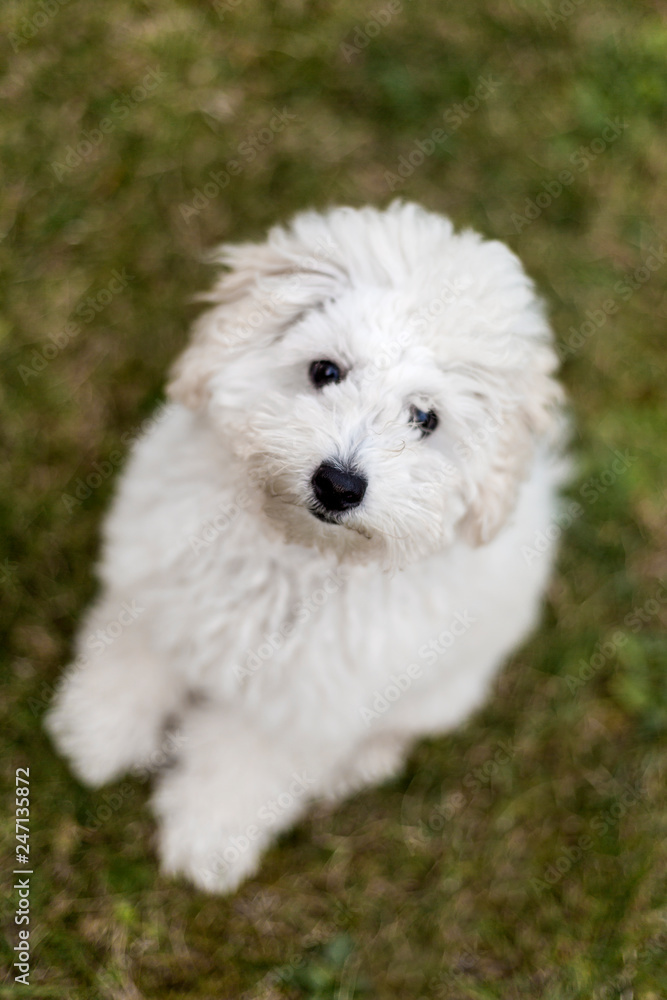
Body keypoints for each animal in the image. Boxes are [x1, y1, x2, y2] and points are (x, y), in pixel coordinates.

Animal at [47, 201, 568, 892]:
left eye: (424, 418)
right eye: (326, 371)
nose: (339, 484)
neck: (295, 551)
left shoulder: (301, 706)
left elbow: (244, 766)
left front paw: (207, 837)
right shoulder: (160, 590)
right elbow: (134, 657)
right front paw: (98, 732)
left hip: (446, 690)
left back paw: (361, 762)